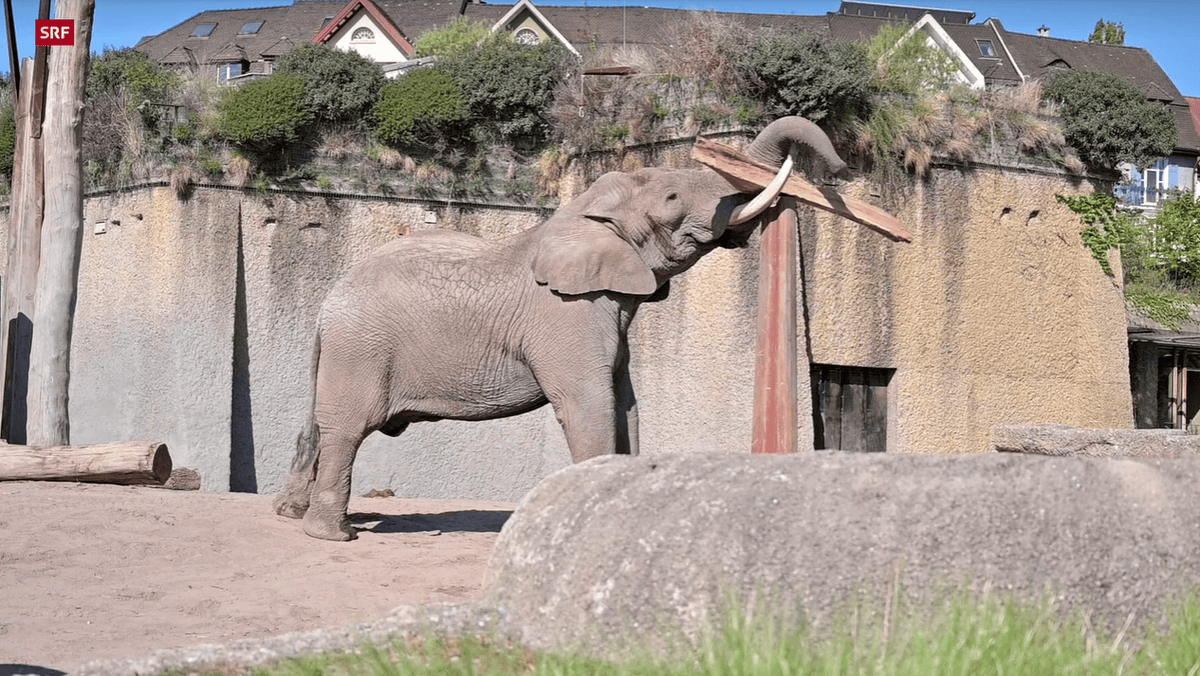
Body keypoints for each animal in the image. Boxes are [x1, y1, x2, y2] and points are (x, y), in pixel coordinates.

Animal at [273, 116, 849, 540]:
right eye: (670, 199)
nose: (841, 170)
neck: (581, 213)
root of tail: (329, 300)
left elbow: (625, 407)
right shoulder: (568, 312)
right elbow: (588, 404)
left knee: (320, 425)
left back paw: (292, 514)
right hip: (362, 346)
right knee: (348, 427)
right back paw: (333, 535)